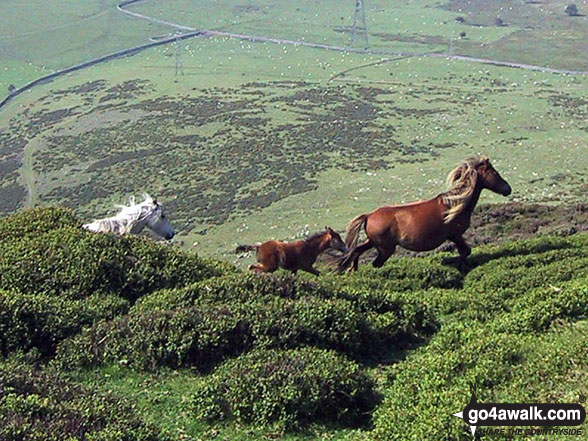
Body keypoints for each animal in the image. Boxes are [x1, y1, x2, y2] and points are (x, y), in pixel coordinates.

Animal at [338, 156, 512, 270]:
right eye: (495, 173)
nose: (508, 189)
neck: (455, 204)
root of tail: (369, 216)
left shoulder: (456, 236)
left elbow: (466, 252)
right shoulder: (455, 235)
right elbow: (465, 252)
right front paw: (453, 262)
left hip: (374, 243)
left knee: (357, 251)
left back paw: (353, 270)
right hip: (385, 249)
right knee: (375, 263)